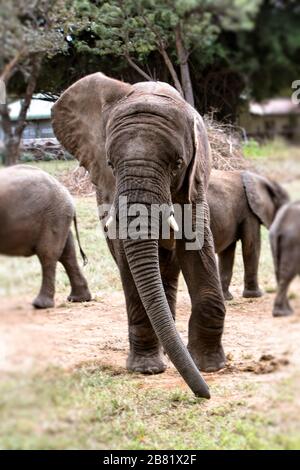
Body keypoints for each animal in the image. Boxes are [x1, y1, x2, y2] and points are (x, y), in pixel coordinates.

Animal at [0, 165, 91, 308]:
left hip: (52, 217)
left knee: (48, 254)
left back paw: (40, 305)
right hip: (59, 217)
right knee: (68, 254)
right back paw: (79, 299)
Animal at [51, 71, 226, 398]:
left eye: (177, 164)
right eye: (110, 164)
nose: (205, 394)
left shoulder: (195, 183)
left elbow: (197, 248)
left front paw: (210, 367)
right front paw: (147, 370)